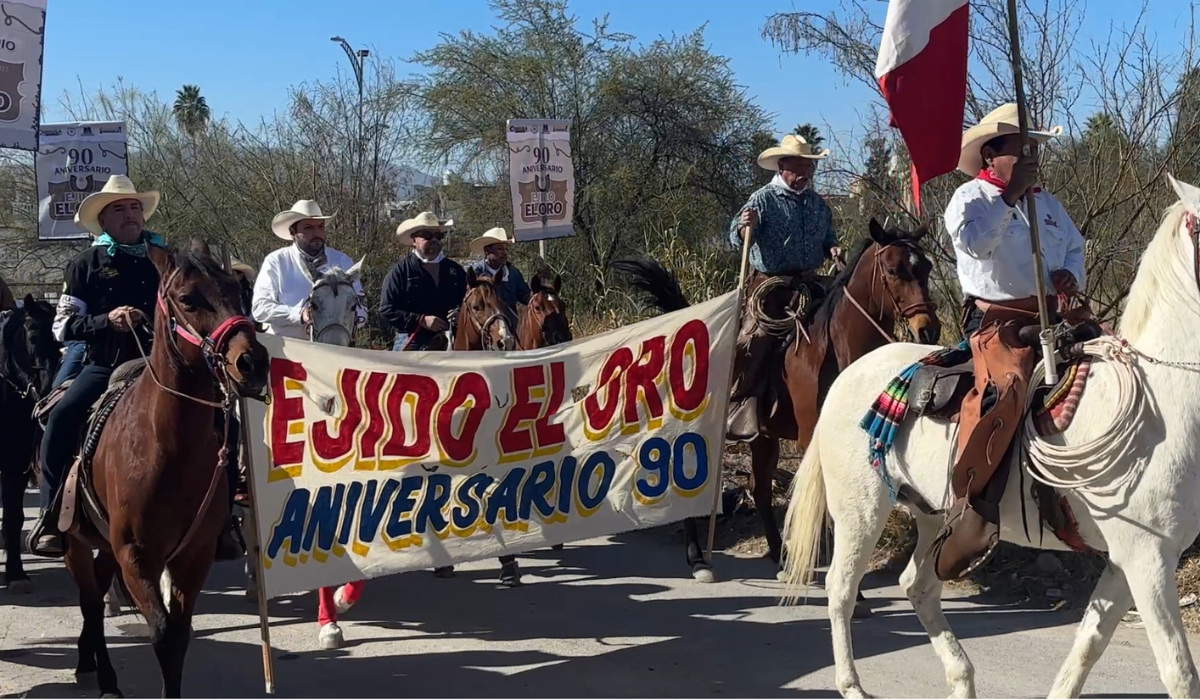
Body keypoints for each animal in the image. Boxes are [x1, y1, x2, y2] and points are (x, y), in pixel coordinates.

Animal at [63, 243, 270, 696]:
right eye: (188, 299)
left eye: (238, 293)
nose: (252, 362)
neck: (166, 448)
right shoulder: (136, 555)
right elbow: (161, 634)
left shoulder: (194, 556)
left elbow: (179, 635)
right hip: (76, 542)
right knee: (90, 602)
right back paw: (98, 674)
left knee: (97, 594)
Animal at [614, 218, 940, 585]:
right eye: (893, 269)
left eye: (926, 267)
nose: (928, 329)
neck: (835, 351)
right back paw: (699, 560)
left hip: (762, 437)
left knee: (760, 489)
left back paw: (778, 555)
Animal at [782, 176, 1200, 700]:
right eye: (895, 269)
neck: (1164, 398)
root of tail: (848, 375)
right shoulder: (1148, 559)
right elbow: (1178, 672)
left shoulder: (1132, 560)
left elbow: (1089, 641)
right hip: (860, 510)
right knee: (841, 587)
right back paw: (851, 684)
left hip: (932, 513)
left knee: (918, 585)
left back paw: (961, 679)